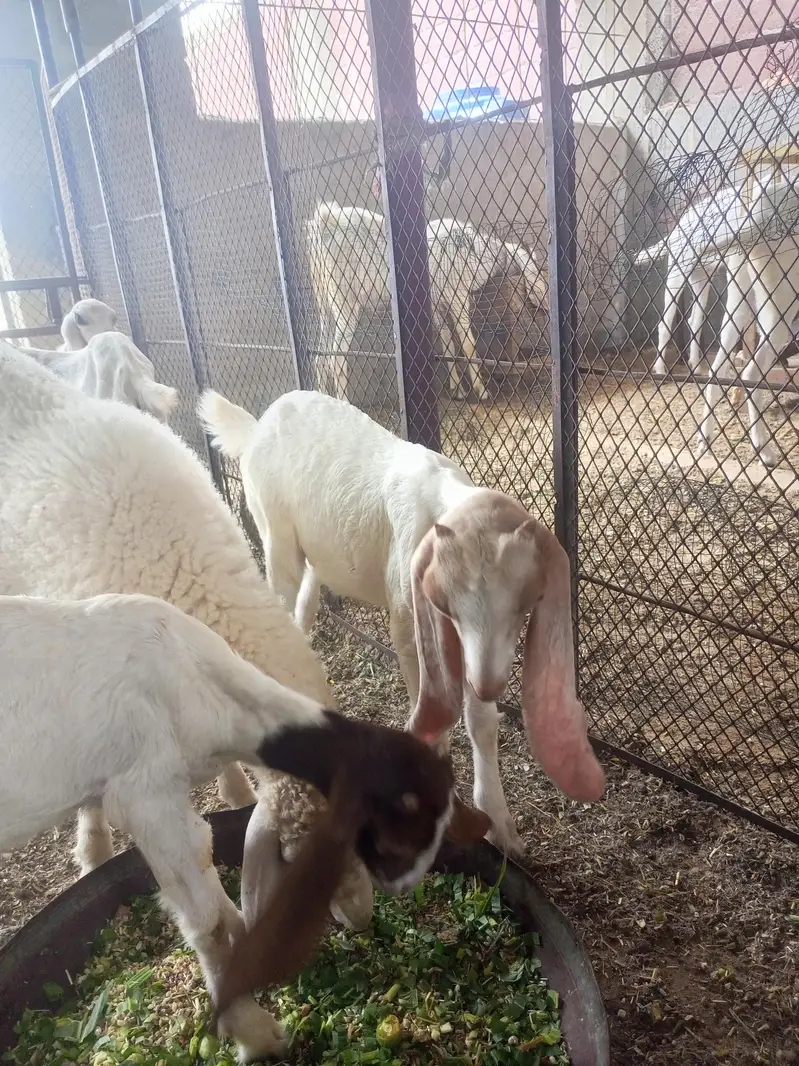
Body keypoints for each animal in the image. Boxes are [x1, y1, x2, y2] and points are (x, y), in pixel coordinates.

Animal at [0, 591, 487, 1061]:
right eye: (389, 839)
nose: (396, 891)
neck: (200, 682)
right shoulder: (147, 797)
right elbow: (209, 923)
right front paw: (255, 1034)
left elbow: (220, 893)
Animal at [199, 388, 607, 857]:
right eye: (445, 601)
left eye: (529, 601)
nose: (489, 684)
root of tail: (258, 424)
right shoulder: (411, 620)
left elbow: (482, 722)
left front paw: (501, 828)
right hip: (275, 533)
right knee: (280, 595)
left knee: (302, 608)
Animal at [303, 203, 544, 403]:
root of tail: (322, 223)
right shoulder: (457, 295)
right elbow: (468, 343)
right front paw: (482, 390)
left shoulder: (438, 302)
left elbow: (447, 342)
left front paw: (458, 390)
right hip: (345, 303)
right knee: (335, 359)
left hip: (325, 306)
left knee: (319, 357)